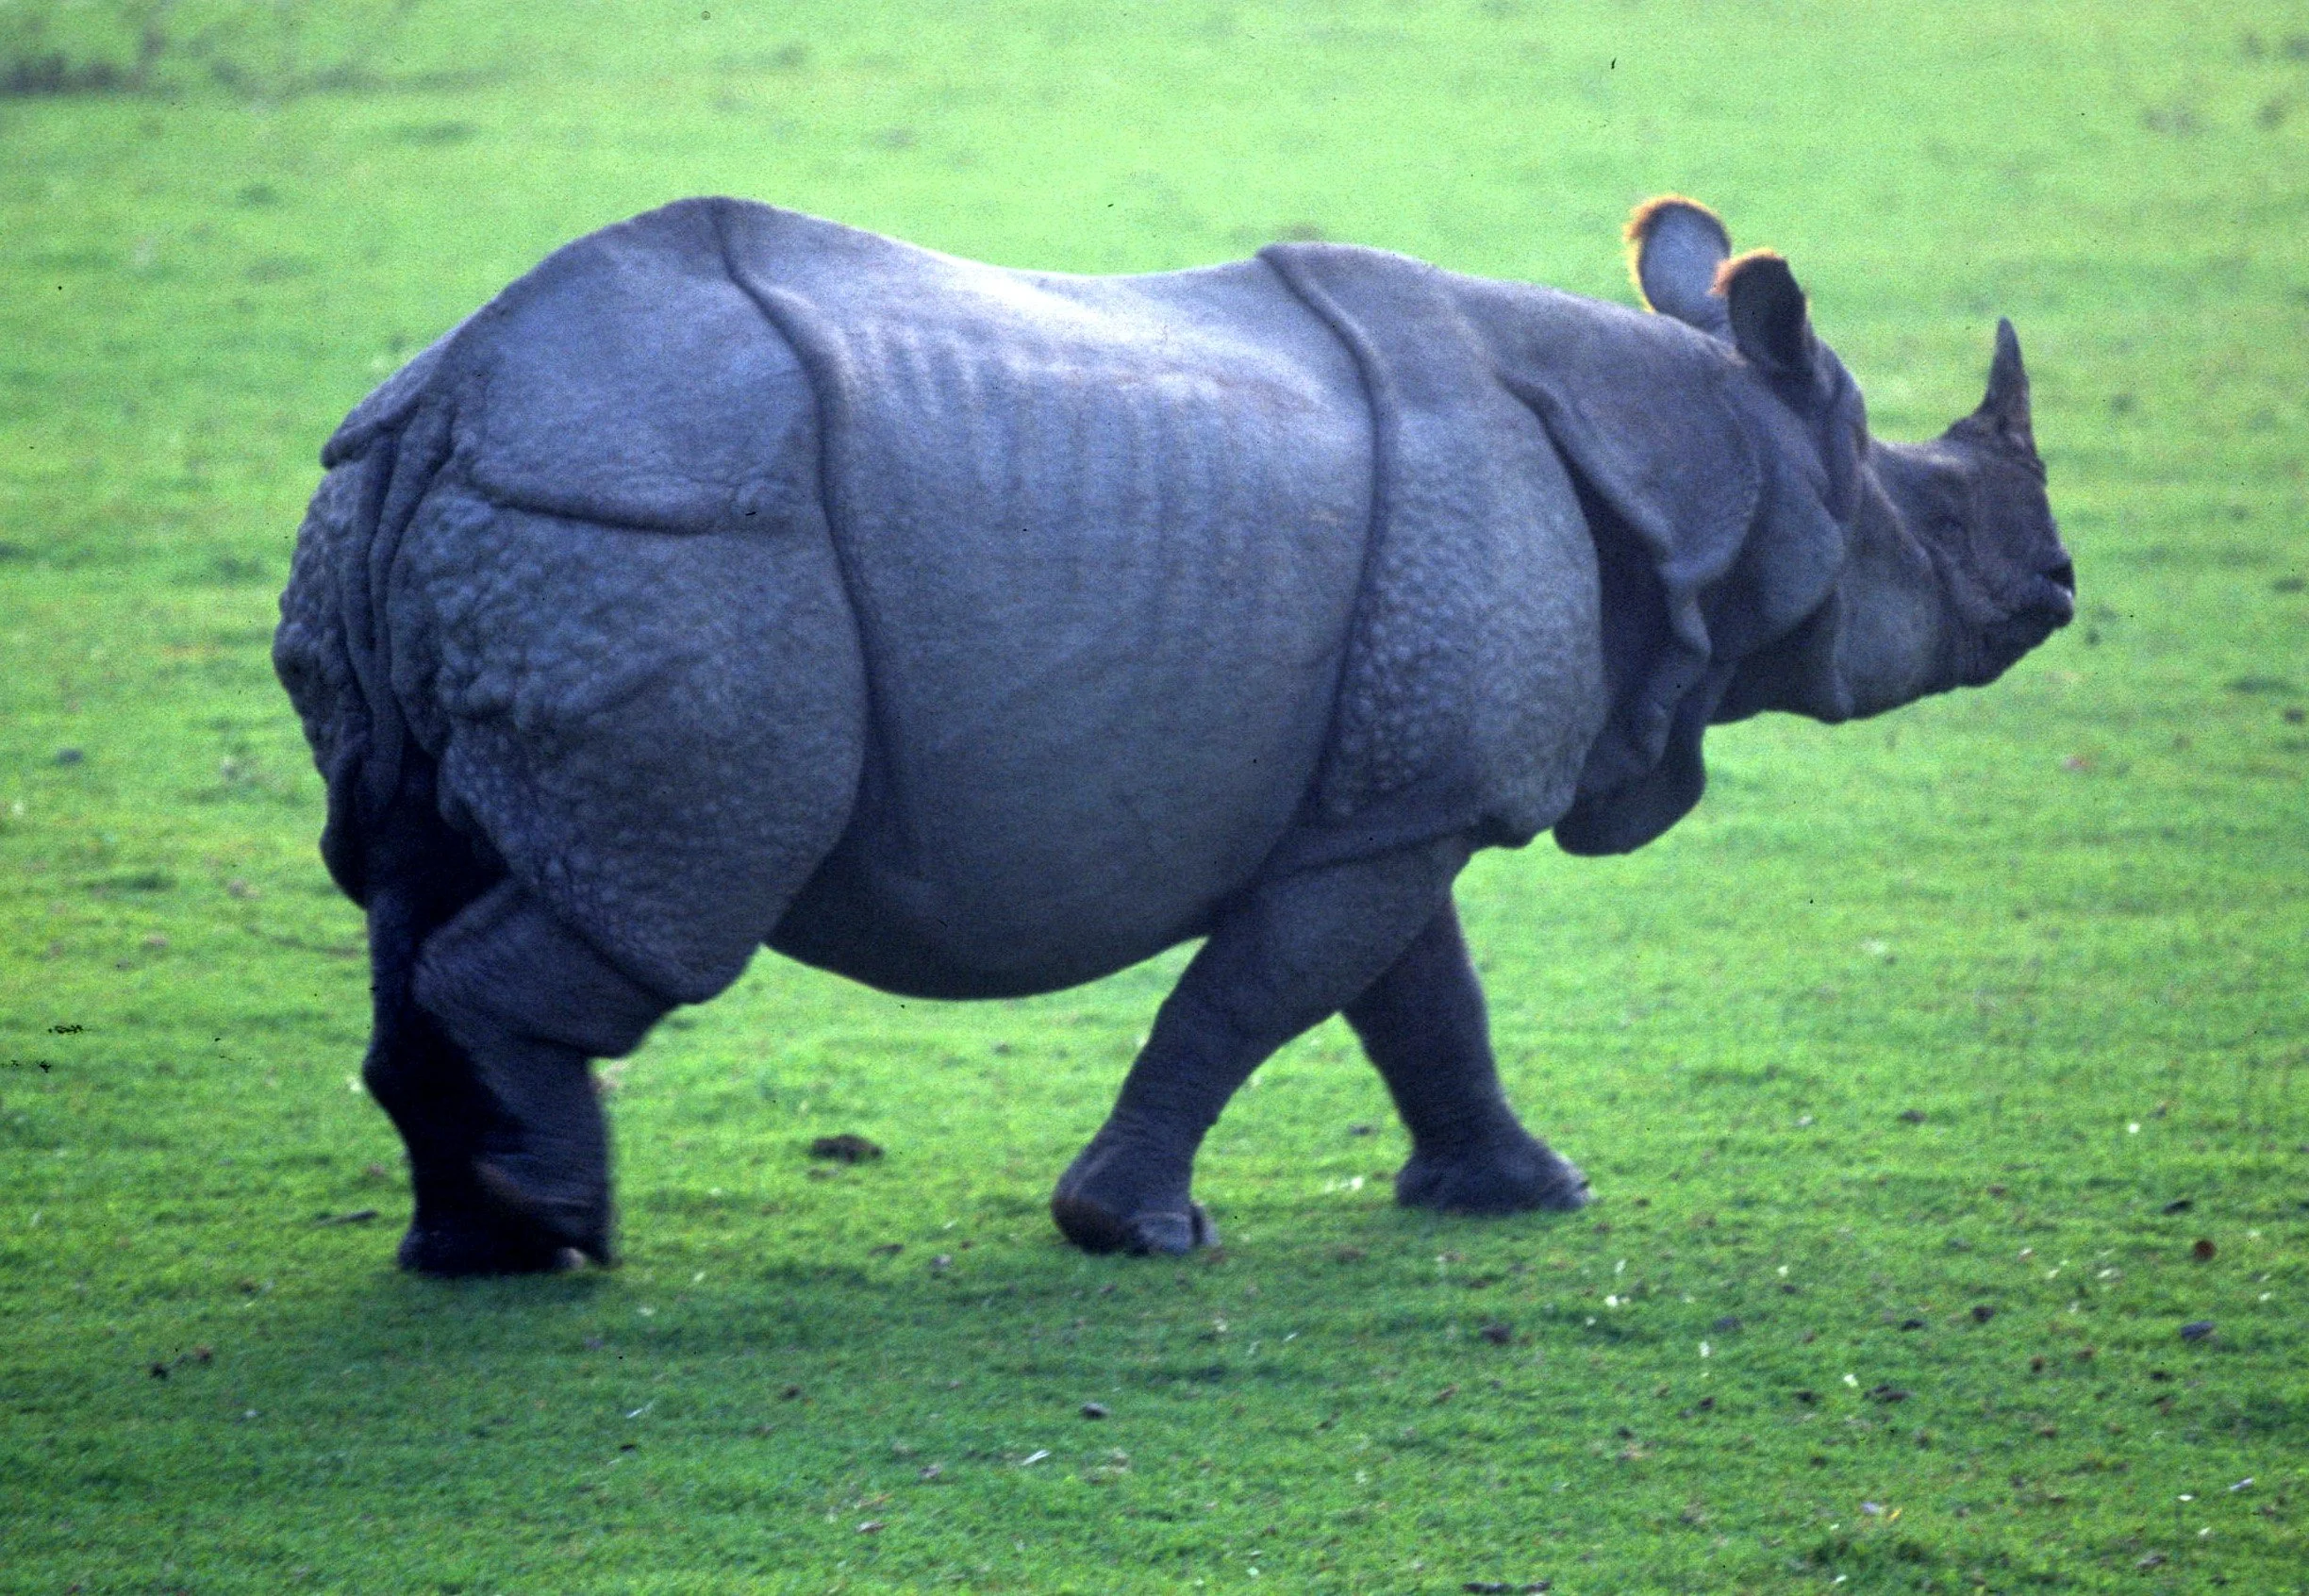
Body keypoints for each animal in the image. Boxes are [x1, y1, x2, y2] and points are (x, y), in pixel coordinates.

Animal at [274, 194, 2072, 1275]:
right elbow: (1262, 994)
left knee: (414, 874)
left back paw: (479, 1251)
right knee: (666, 902)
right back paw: (565, 1235)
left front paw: (1525, 1191)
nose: (2057, 587)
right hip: (672, 538)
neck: (1717, 456)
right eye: (1928, 520)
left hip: (448, 511)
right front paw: (1135, 1233)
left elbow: (1418, 994)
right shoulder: (1411, 794)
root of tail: (448, 404)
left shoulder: (1393, 789)